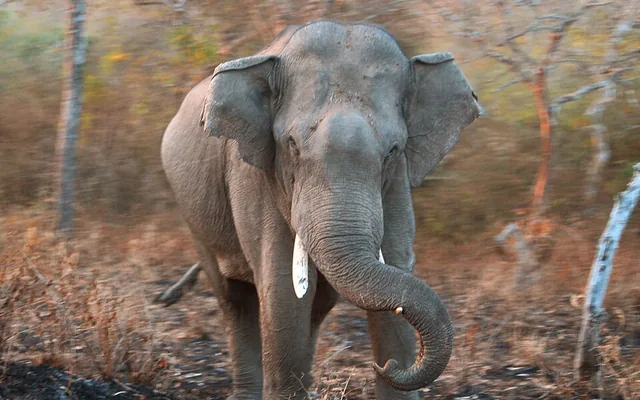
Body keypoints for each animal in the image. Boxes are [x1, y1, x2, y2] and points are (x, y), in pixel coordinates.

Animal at [160, 20, 482, 400]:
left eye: (392, 150)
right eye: (292, 145)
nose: (386, 367)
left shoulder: (396, 183)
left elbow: (396, 271)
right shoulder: (254, 175)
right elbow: (282, 293)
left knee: (316, 305)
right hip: (194, 215)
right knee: (235, 301)